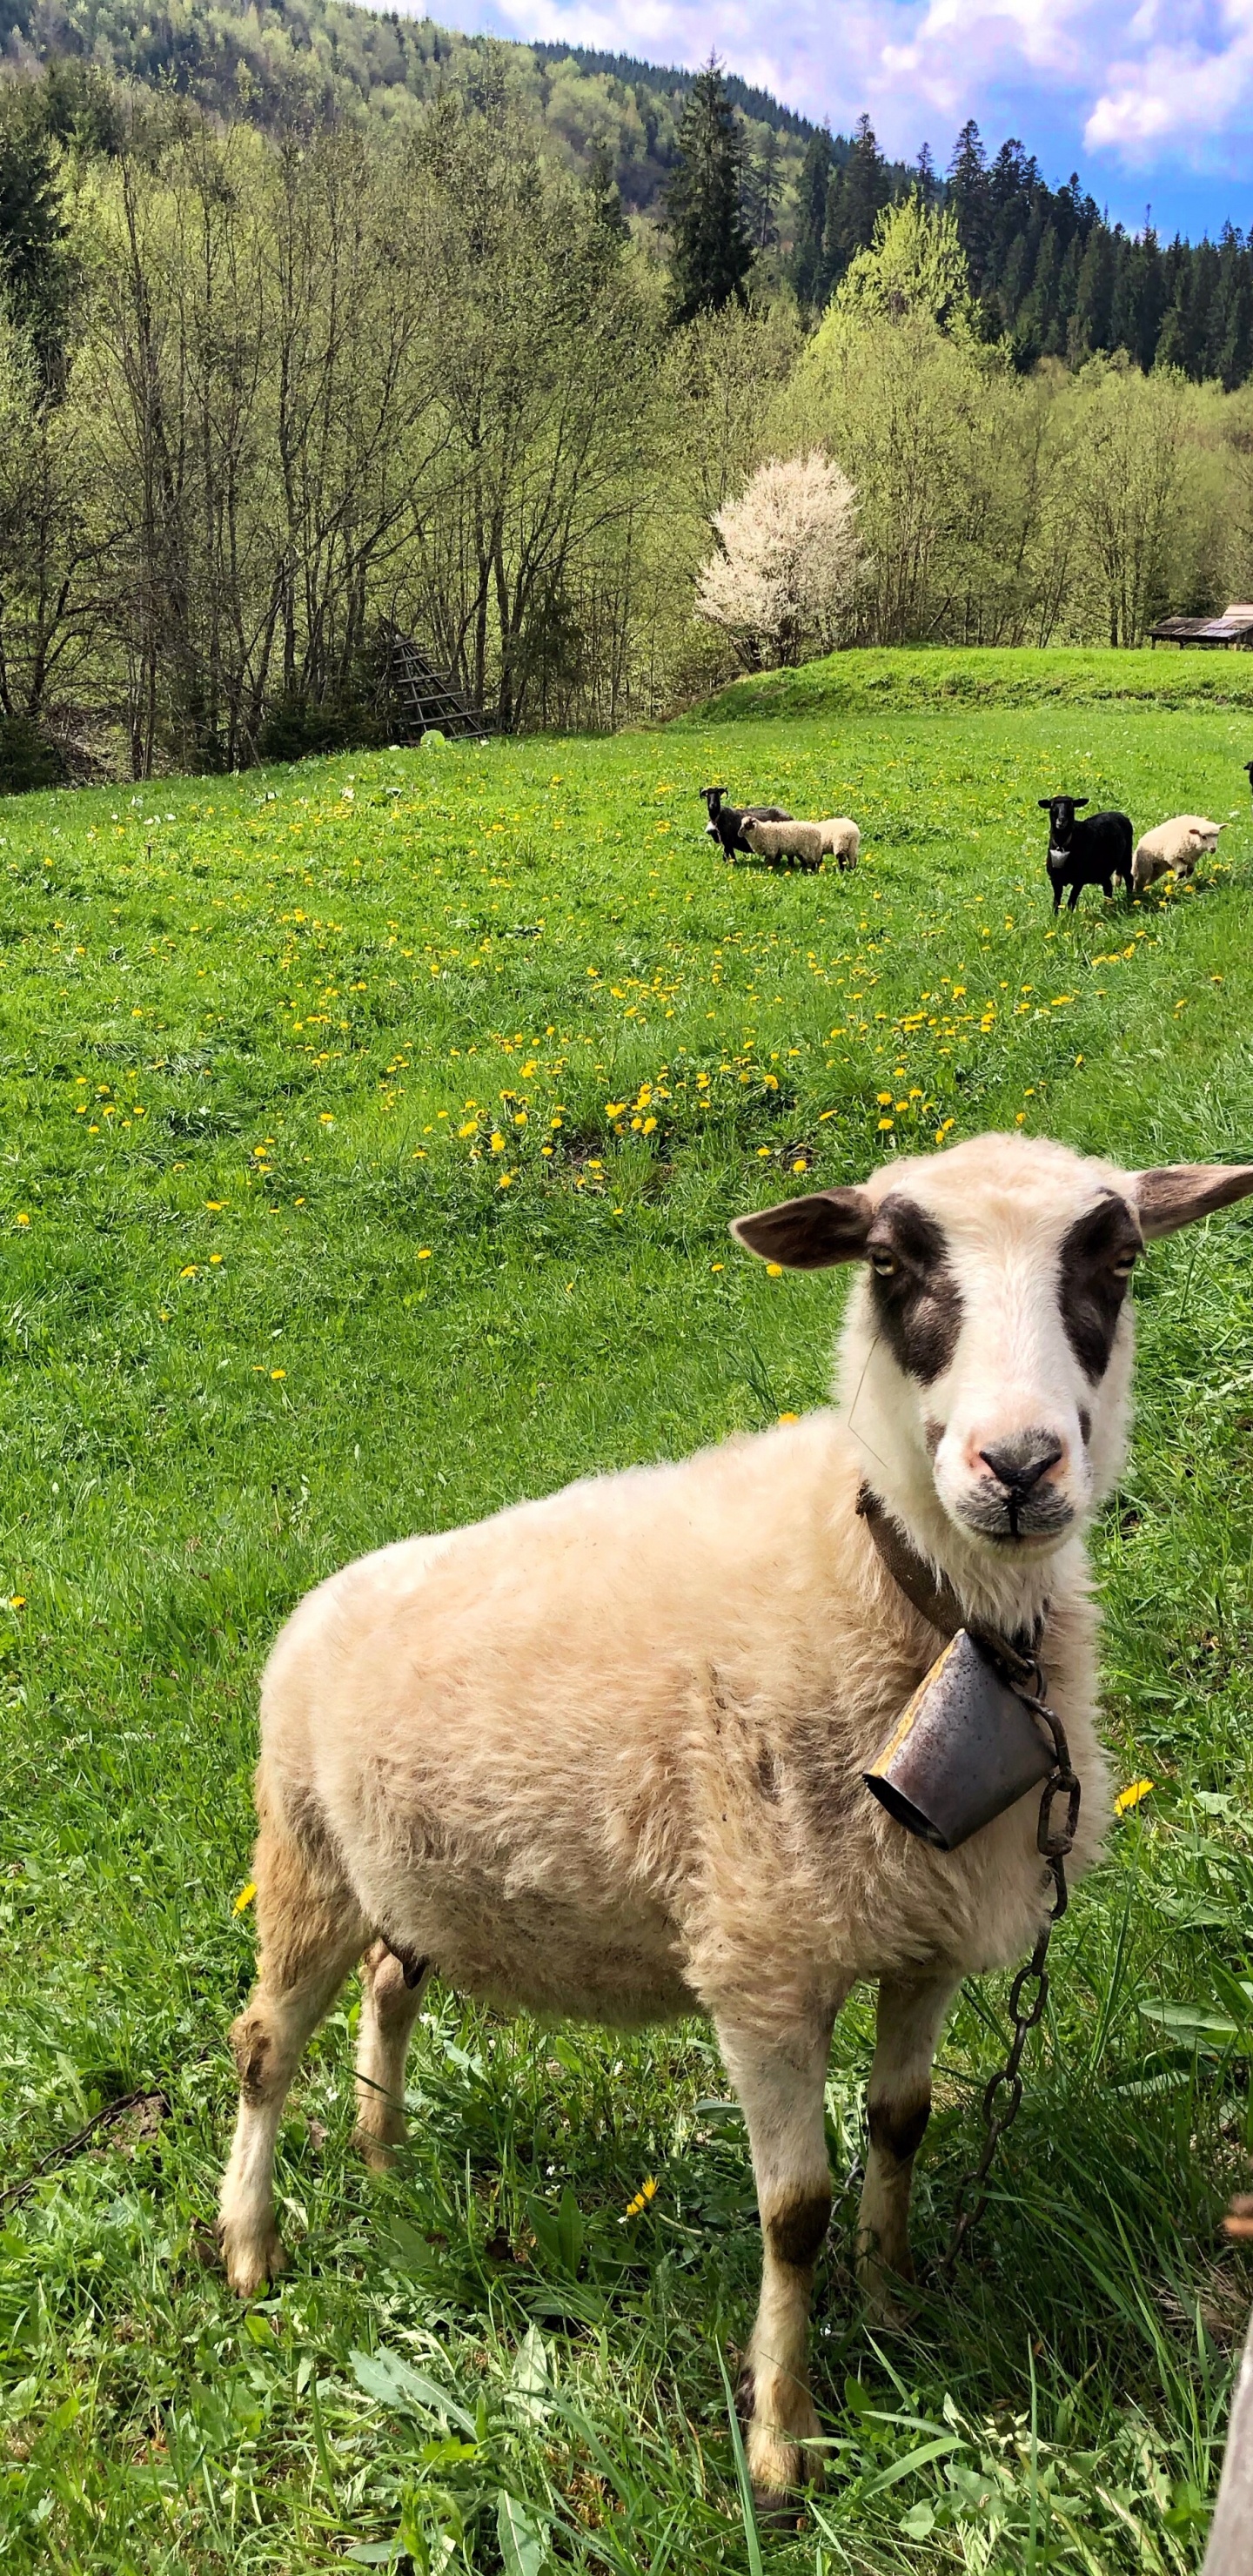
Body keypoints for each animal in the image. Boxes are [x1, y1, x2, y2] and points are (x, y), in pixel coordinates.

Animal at [217, 1132, 1253, 2513]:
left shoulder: (923, 1932)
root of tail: (323, 1593)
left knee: (392, 1984)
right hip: (304, 1852)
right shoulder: (761, 1962)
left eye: (1120, 1259)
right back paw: (249, 2247)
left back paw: (386, 2160)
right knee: (263, 2046)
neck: (909, 1590)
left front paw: (892, 2296)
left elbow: (903, 2126)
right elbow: (792, 2211)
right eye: (889, 1265)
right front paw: (781, 2438)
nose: (1020, 1467)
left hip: (416, 1874)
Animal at [1039, 794, 1134, 912]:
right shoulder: (1055, 879)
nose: (1061, 820)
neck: (1062, 845)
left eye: (1071, 806)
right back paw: (1107, 906)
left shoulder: (1079, 880)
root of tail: (1119, 814)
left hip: (1126, 857)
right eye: (1052, 806)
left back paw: (1130, 899)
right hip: (1102, 870)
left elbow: (1071, 903)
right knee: (1108, 886)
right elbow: (1056, 903)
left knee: (1129, 878)